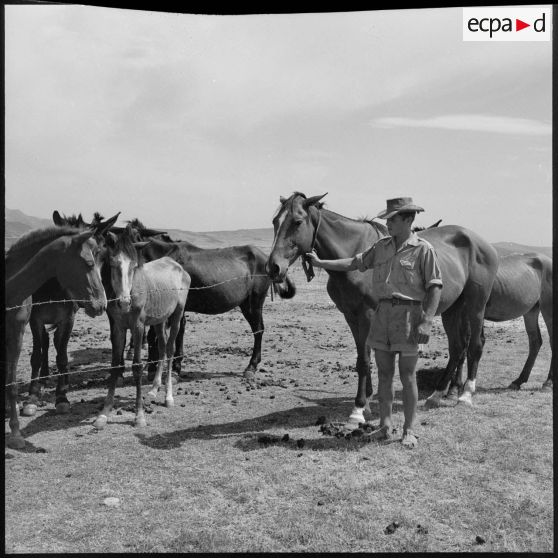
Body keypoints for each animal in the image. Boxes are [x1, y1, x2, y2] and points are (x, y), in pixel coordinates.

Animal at [20, 212, 119, 418]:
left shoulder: (68, 320)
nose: (99, 303)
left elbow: (63, 357)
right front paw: (32, 397)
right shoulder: (35, 320)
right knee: (46, 344)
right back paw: (43, 377)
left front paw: (62, 397)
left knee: (58, 346)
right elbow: (36, 355)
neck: (54, 288)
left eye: (101, 254)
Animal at [94, 225, 192, 430]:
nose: (124, 302)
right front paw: (103, 414)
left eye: (133, 266)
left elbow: (138, 366)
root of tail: (177, 266)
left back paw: (168, 397)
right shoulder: (118, 327)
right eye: (113, 264)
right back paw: (154, 389)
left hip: (177, 314)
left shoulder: (138, 327)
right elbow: (115, 365)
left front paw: (139, 416)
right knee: (162, 347)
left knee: (170, 349)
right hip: (160, 319)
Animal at [130, 226, 298, 380]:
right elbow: (164, 334)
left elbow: (162, 335)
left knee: (258, 330)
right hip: (246, 304)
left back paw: (251, 366)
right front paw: (161, 368)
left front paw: (167, 370)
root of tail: (268, 261)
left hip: (254, 303)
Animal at [266, 192, 498, 424]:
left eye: (297, 222)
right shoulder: (351, 317)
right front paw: (367, 403)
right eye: (275, 221)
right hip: (453, 309)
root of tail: (481, 243)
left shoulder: (367, 316)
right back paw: (437, 395)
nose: (273, 268)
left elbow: (366, 359)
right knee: (458, 347)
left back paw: (465, 395)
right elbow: (362, 359)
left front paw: (358, 409)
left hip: (476, 306)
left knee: (475, 345)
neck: (354, 250)